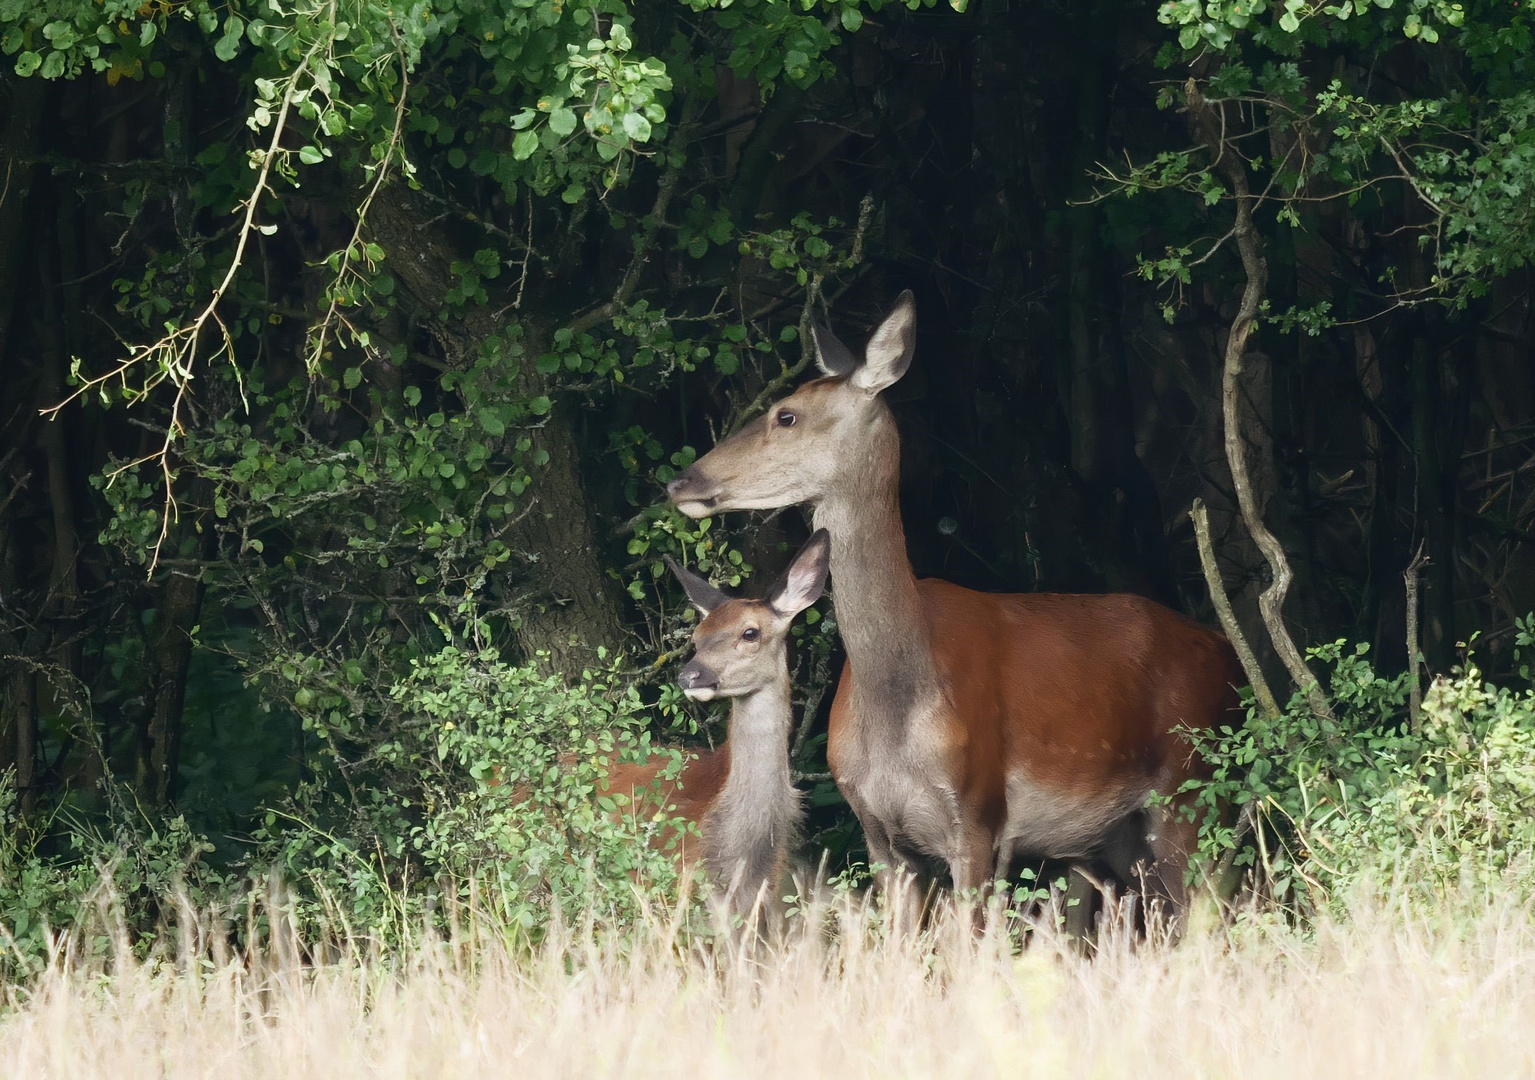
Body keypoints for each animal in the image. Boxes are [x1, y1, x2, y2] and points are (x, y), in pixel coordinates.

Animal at [666, 294, 1240, 926]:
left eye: (786, 415)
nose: (681, 480)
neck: (896, 708)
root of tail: (1229, 655)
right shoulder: (877, 831)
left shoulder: (979, 815)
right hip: (1115, 838)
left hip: (1192, 789)